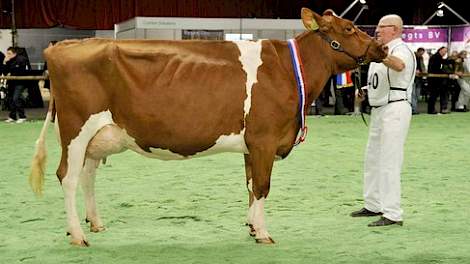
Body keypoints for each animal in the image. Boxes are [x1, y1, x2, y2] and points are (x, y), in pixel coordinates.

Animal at [30, 8, 386, 248]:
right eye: (350, 27)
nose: (381, 47)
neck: (288, 68)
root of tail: (62, 46)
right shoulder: (265, 139)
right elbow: (262, 186)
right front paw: (264, 233)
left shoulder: (252, 144)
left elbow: (250, 185)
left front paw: (252, 227)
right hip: (76, 130)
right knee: (68, 177)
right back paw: (78, 236)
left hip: (97, 137)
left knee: (88, 176)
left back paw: (95, 224)